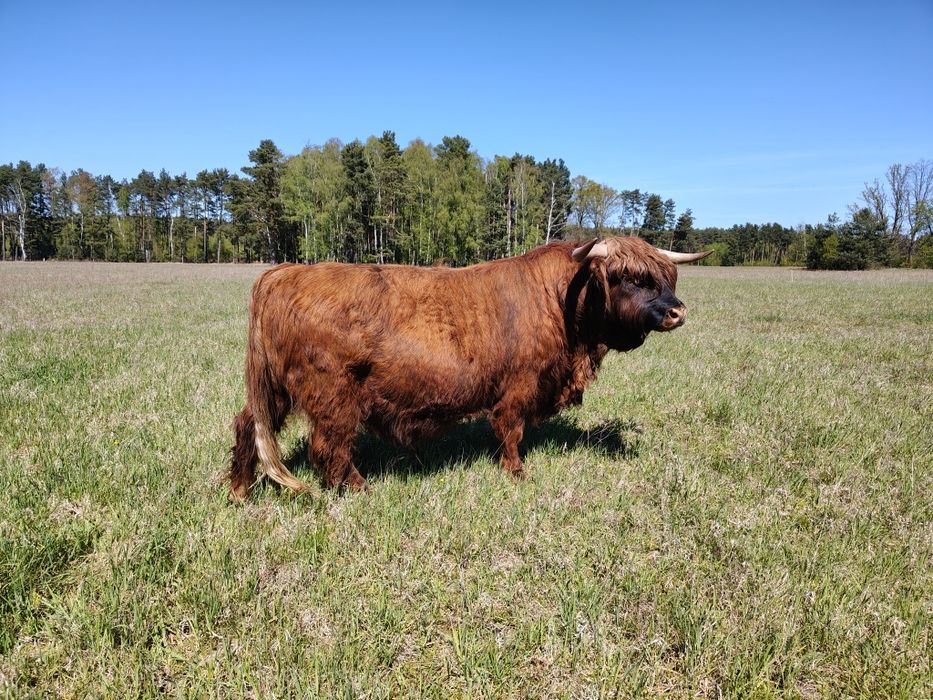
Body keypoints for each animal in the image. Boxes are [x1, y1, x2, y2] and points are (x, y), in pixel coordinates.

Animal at [229, 236, 709, 501]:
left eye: (665, 277)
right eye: (630, 277)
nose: (678, 312)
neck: (562, 301)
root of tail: (283, 273)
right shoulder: (520, 384)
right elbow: (511, 430)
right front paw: (516, 473)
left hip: (276, 389)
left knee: (248, 424)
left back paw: (239, 491)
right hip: (334, 395)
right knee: (330, 446)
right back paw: (360, 488)